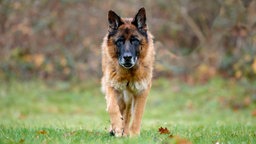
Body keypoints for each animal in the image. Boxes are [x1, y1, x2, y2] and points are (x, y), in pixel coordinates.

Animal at [101, 7, 154, 137]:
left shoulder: (142, 91)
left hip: (129, 96)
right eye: (119, 41)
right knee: (121, 107)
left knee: (128, 112)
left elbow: (137, 115)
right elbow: (112, 106)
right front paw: (117, 127)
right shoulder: (111, 85)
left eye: (135, 40)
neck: (129, 73)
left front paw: (134, 135)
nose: (127, 57)